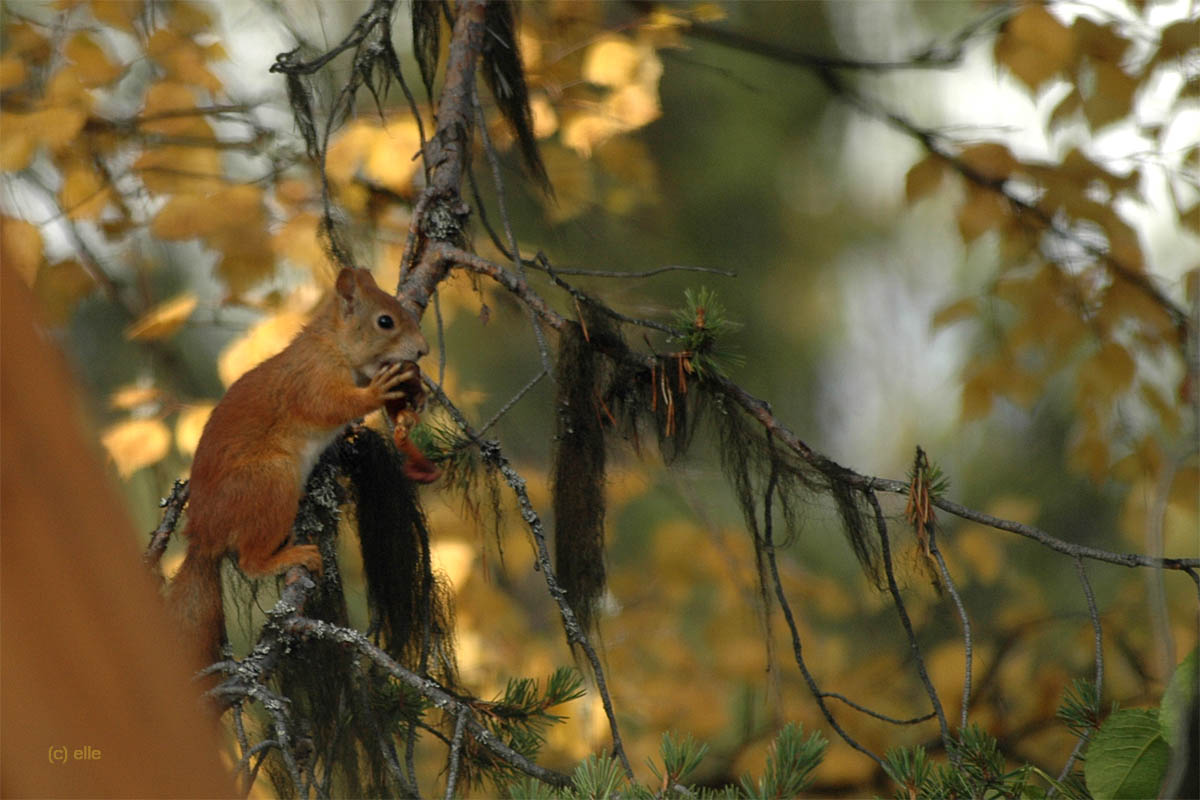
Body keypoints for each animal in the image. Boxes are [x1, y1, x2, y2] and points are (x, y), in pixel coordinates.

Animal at [168, 267, 432, 671]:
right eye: (385, 321)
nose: (422, 350)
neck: (333, 345)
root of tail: (204, 536)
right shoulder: (312, 379)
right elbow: (330, 406)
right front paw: (378, 392)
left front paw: (415, 398)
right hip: (271, 480)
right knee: (250, 560)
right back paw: (290, 556)